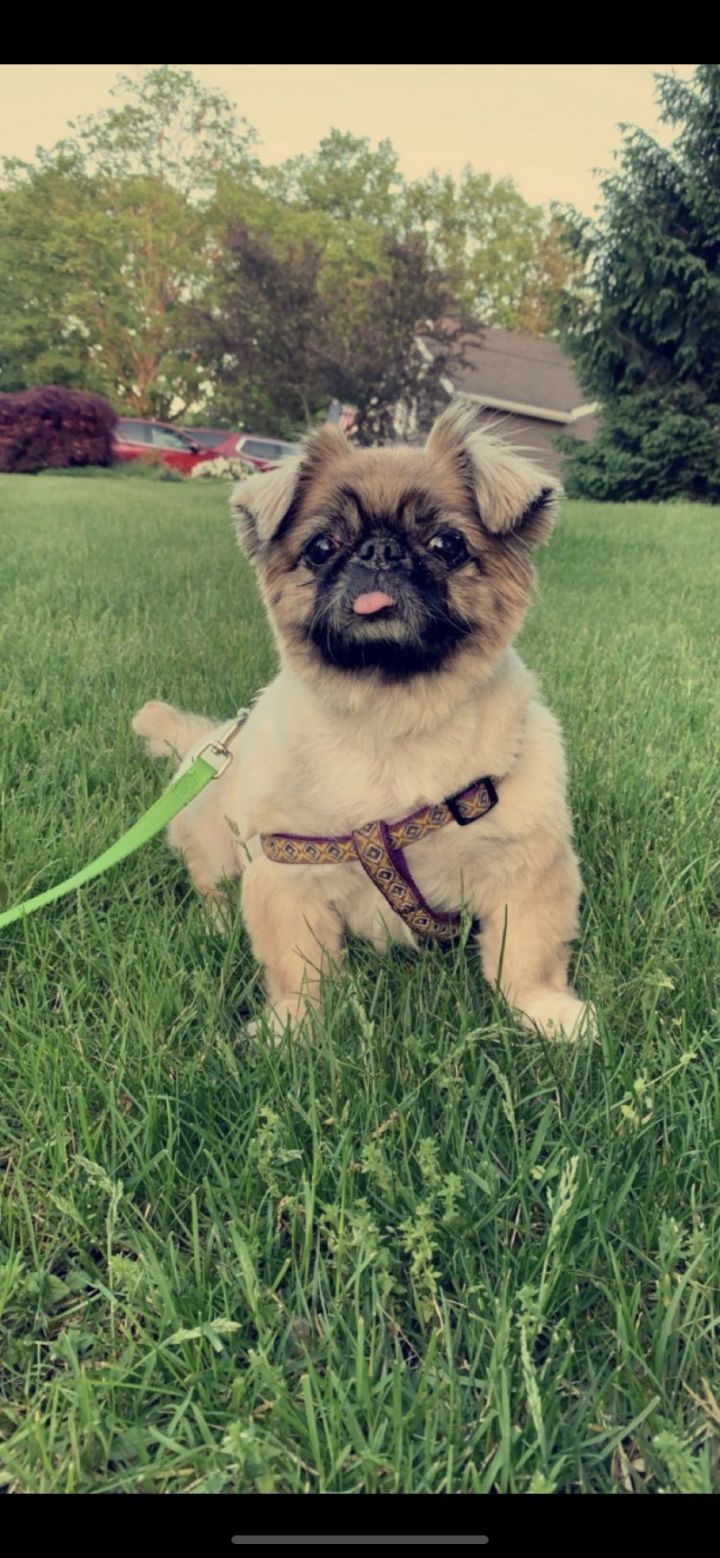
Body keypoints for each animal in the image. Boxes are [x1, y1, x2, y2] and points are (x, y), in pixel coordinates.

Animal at [132, 398, 592, 1046]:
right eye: (322, 547)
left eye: (447, 543)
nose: (379, 551)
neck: (389, 719)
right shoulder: (287, 874)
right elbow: (299, 966)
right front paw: (294, 1030)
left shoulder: (526, 869)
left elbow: (527, 957)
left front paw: (547, 1014)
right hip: (214, 845)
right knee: (213, 890)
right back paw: (217, 927)